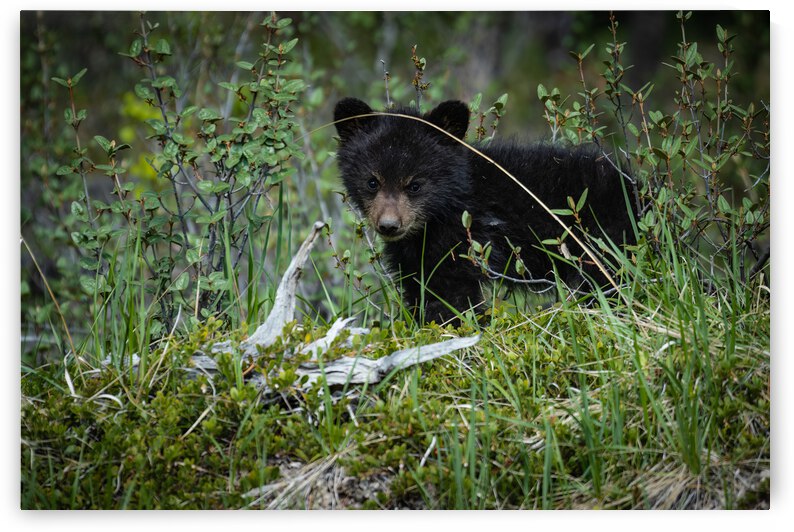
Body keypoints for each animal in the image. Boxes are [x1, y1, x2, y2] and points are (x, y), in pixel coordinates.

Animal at [333, 97, 636, 323]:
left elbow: (452, 295)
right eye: (372, 181)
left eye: (415, 184)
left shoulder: (466, 240)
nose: (389, 225)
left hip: (606, 241)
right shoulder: (413, 256)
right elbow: (420, 288)